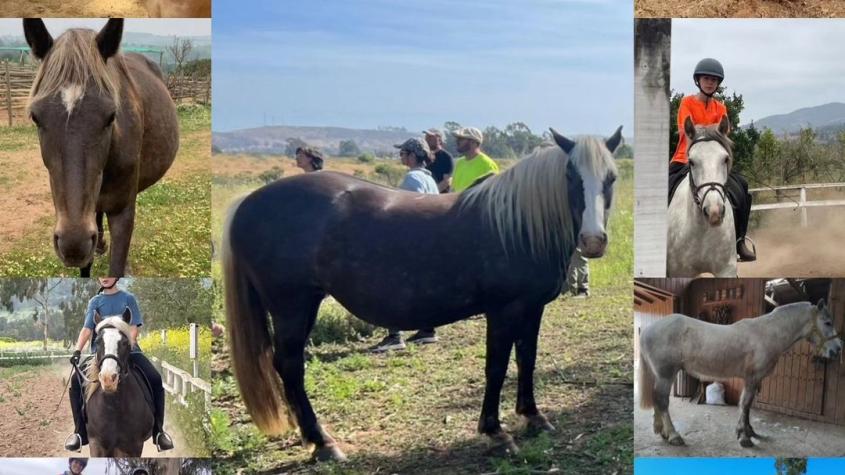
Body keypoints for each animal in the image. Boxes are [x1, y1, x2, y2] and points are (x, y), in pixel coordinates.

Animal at [85, 310, 154, 460]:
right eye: (97, 342)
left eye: (124, 342)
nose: (108, 379)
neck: (113, 406)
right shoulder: (96, 444)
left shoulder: (133, 446)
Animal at [221, 126, 624, 462]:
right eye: (571, 176)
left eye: (611, 177)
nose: (593, 241)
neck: (516, 224)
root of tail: (246, 203)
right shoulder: (503, 311)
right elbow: (496, 367)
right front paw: (495, 433)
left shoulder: (531, 308)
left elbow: (527, 359)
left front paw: (533, 417)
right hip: (291, 307)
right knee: (290, 365)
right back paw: (323, 443)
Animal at [636, 302, 840, 450]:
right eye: (827, 322)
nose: (837, 349)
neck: (767, 333)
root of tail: (648, 329)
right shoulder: (752, 378)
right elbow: (745, 405)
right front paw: (744, 437)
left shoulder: (754, 380)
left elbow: (747, 407)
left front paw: (750, 432)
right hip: (666, 375)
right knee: (662, 401)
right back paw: (673, 436)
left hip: (660, 376)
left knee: (657, 399)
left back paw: (662, 432)